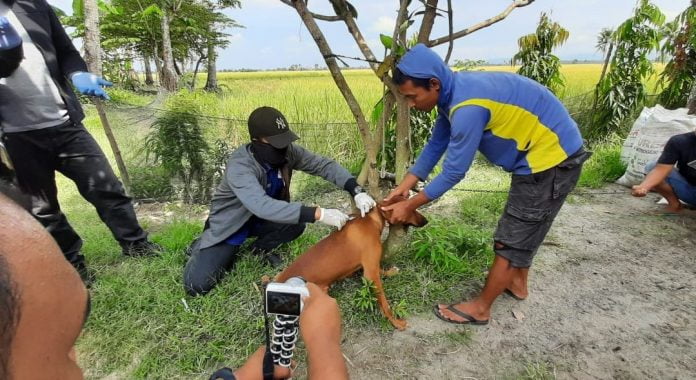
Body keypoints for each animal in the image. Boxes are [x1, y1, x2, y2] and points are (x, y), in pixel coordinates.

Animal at [274, 196, 426, 330]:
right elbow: (384, 302)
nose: (426, 221)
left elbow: (380, 270)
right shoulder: (370, 273)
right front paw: (395, 321)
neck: (372, 219)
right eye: (411, 209)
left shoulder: (369, 266)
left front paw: (391, 272)